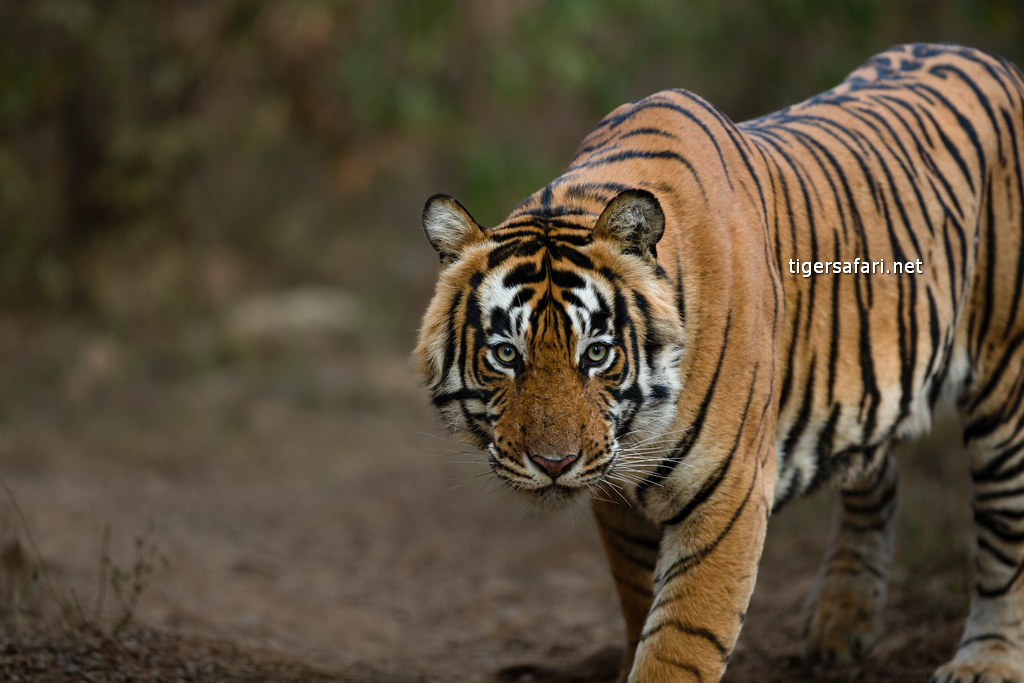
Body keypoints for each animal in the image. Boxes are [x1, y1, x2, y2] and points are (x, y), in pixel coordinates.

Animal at [413, 44, 1024, 683]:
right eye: (506, 354)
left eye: (597, 353)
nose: (554, 464)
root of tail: (984, 56)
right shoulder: (617, 497)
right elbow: (639, 607)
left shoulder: (728, 492)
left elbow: (680, 643)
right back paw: (842, 621)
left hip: (1004, 381)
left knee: (1005, 536)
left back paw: (985, 659)